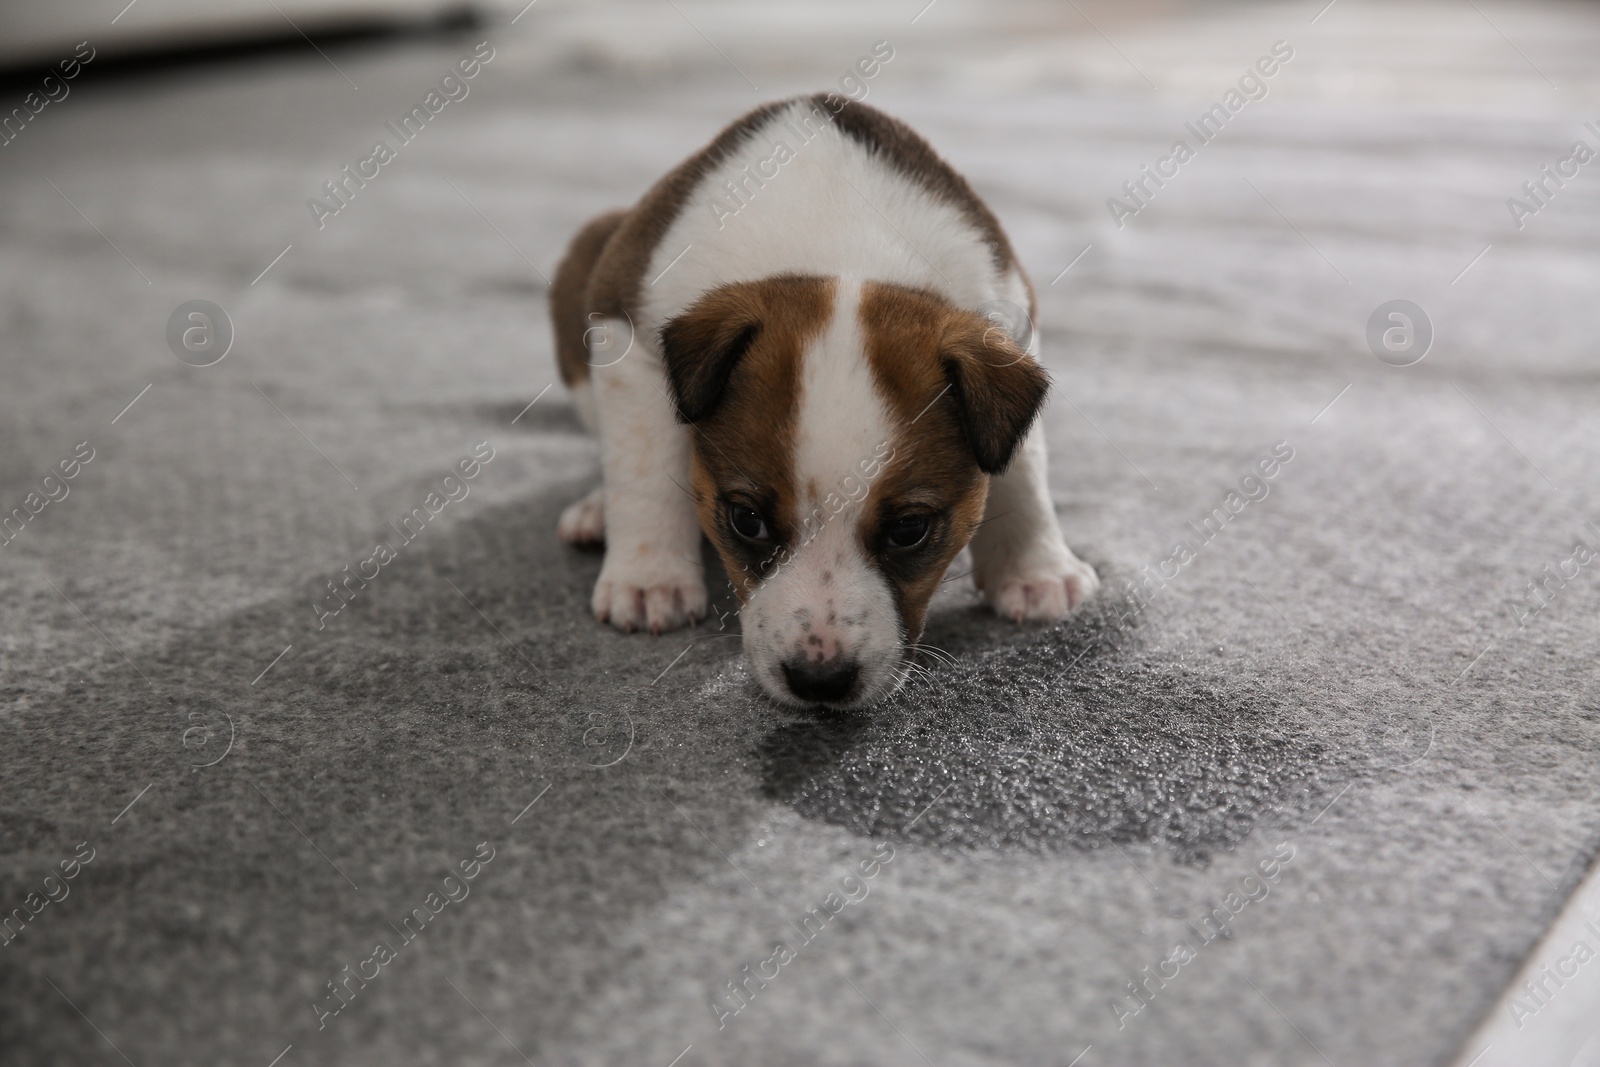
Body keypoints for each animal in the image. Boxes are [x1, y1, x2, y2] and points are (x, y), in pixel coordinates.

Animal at [550, 93, 1100, 710]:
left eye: (910, 530)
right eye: (746, 520)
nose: (820, 681)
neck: (842, 251)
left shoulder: (1012, 325)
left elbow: (1022, 468)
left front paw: (1034, 567)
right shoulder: (626, 332)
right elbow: (643, 471)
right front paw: (650, 578)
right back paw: (599, 509)